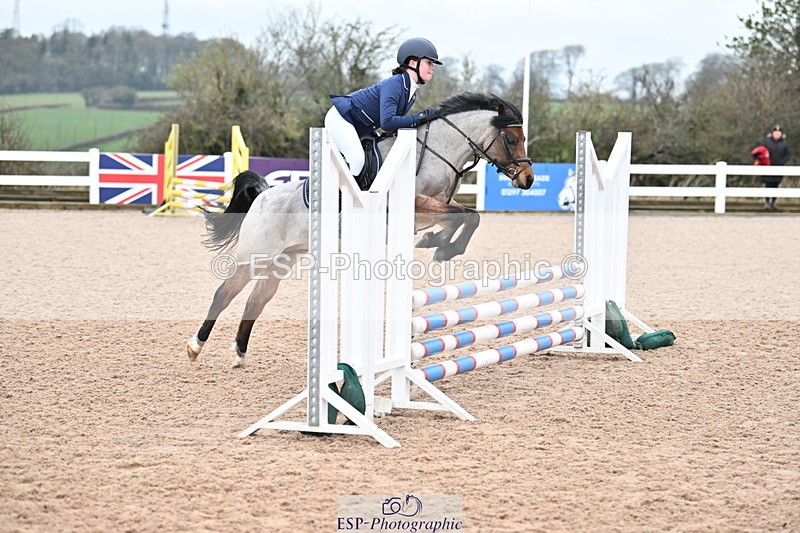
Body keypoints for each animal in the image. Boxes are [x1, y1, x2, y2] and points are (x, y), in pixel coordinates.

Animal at [187, 92, 535, 367]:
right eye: (512, 139)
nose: (528, 179)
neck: (436, 152)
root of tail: (263, 195)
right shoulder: (414, 207)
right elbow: (465, 216)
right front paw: (441, 246)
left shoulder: (432, 208)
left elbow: (465, 217)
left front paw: (438, 244)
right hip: (255, 256)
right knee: (224, 294)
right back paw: (195, 346)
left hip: (281, 262)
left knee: (255, 302)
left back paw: (238, 353)